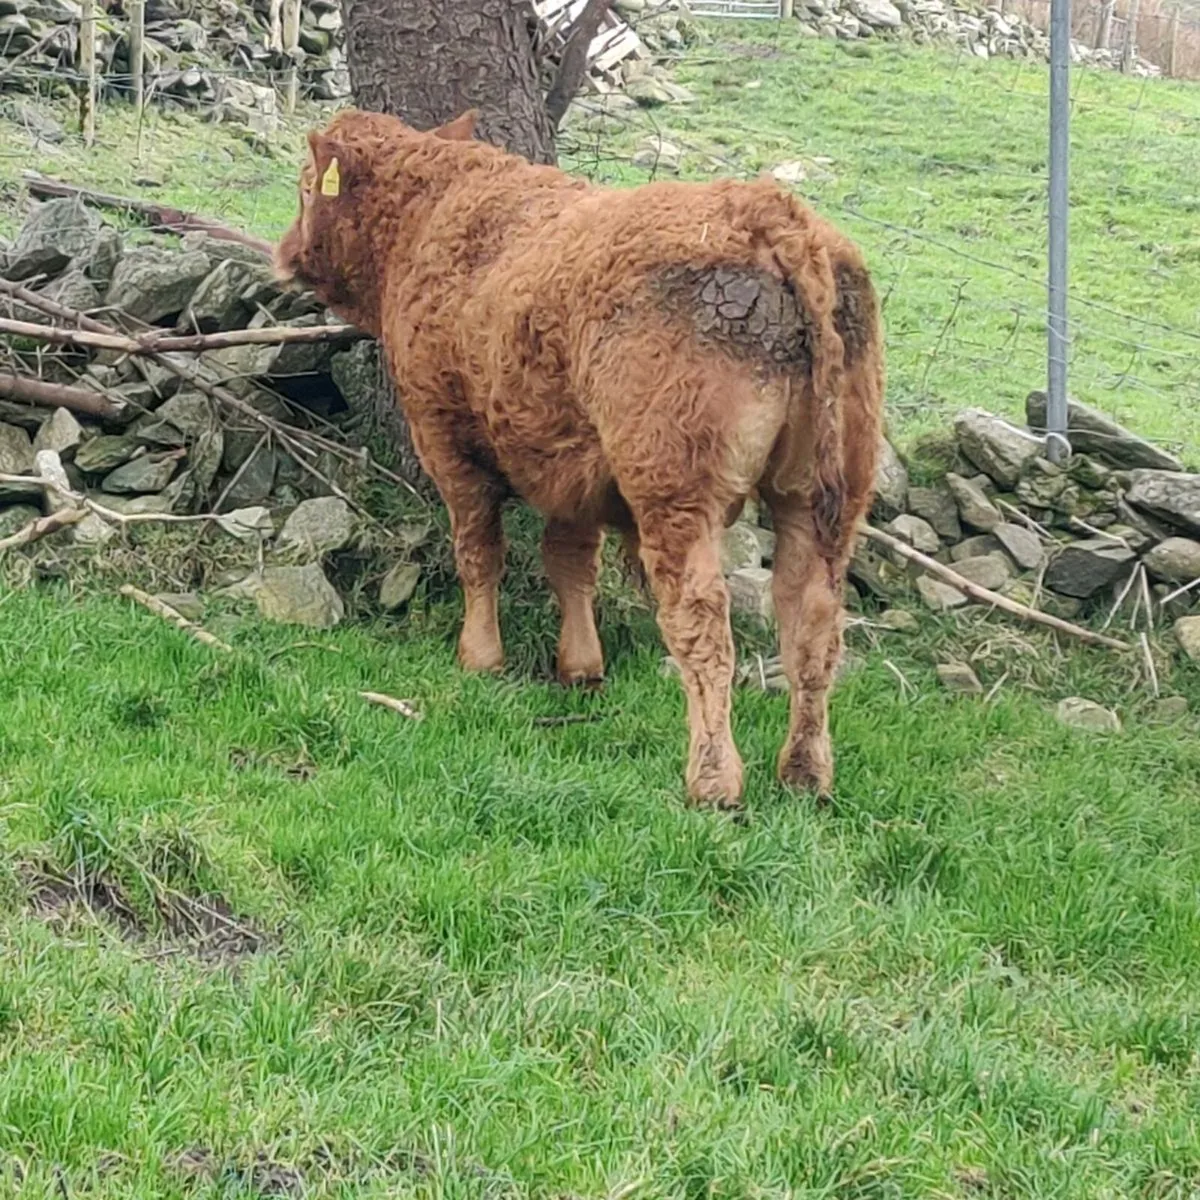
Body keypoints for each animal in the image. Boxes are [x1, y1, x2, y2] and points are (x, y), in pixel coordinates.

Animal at [274, 107, 884, 810]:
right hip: (820, 494)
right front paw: (581, 667)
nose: (284, 252)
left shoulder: (445, 436)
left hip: (677, 494)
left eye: (305, 185)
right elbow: (569, 562)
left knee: (703, 621)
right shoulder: (570, 463)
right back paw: (805, 773)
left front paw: (480, 656)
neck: (435, 212)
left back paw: (713, 779)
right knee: (812, 621)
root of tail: (773, 215)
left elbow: (479, 551)